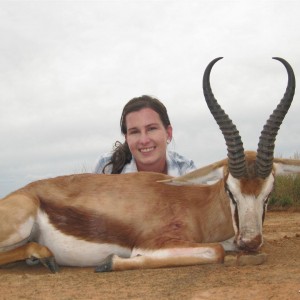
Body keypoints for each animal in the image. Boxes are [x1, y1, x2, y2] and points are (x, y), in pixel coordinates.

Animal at [0, 56, 300, 272]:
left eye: (269, 192)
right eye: (230, 189)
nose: (250, 242)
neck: (196, 206)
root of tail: (20, 194)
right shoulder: (152, 243)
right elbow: (215, 251)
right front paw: (109, 262)